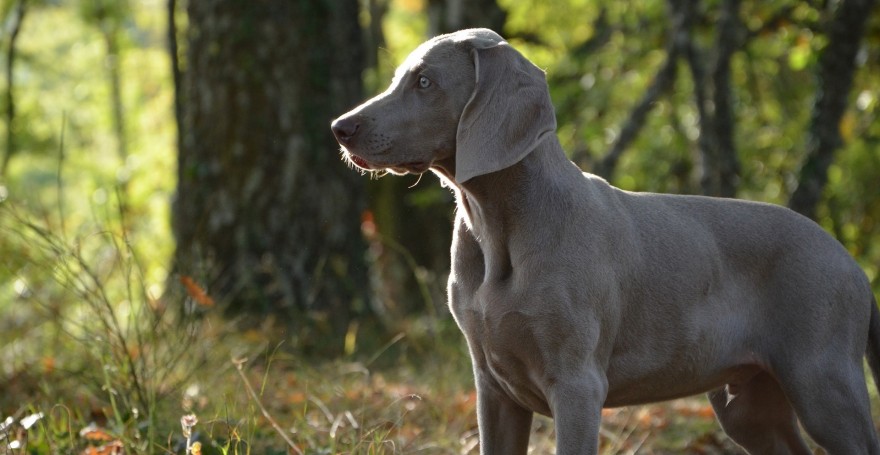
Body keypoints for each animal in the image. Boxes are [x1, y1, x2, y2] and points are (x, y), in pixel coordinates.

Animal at [332, 28, 880, 455]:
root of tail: (850, 261)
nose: (340, 127)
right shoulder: (492, 388)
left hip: (822, 378)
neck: (496, 226)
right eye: (399, 78)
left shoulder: (577, 385)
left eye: (425, 82)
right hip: (748, 401)